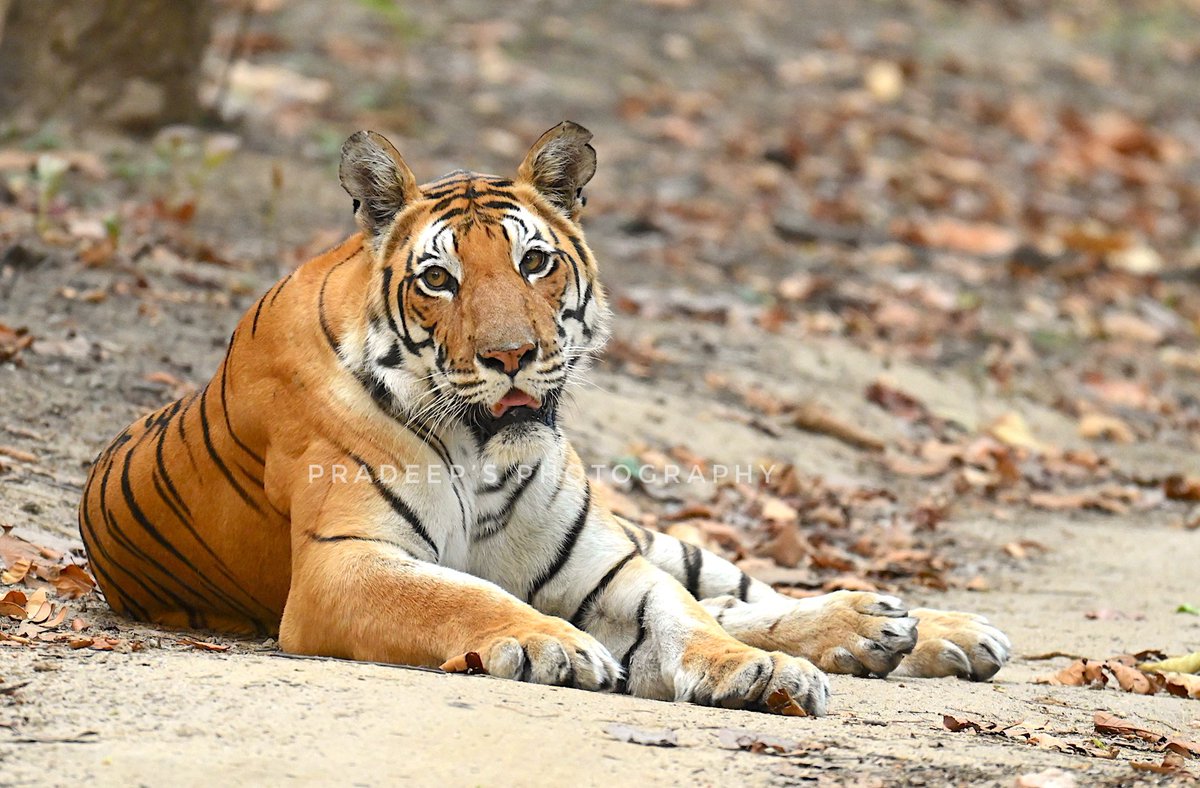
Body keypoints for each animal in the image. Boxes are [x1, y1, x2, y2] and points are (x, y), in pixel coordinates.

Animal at [79, 121, 1008, 714]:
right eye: (439, 279)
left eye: (534, 262)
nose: (512, 354)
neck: (482, 455)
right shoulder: (343, 565)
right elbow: (460, 597)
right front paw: (553, 645)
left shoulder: (606, 565)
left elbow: (687, 617)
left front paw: (753, 670)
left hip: (649, 535)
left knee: (734, 590)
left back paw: (910, 626)